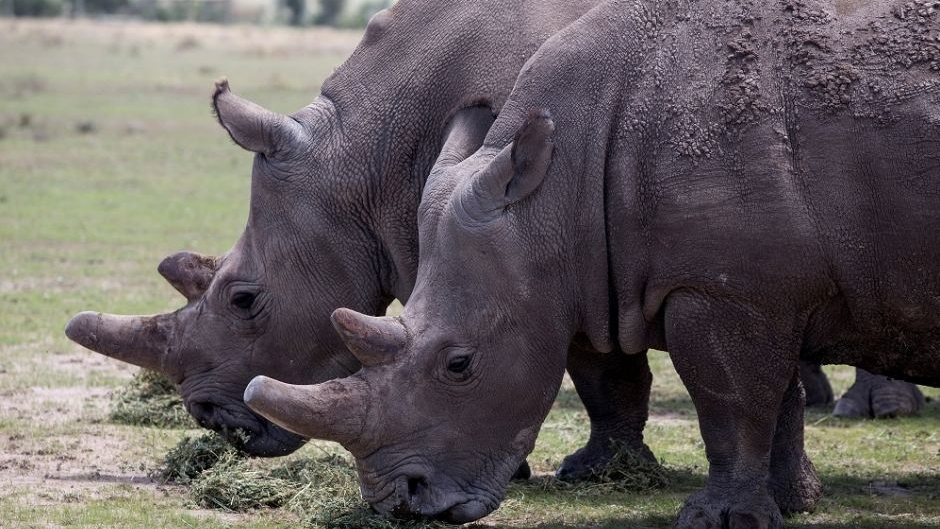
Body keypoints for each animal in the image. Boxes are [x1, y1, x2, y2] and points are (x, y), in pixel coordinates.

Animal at [66, 0, 660, 470]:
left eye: (243, 299)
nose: (210, 418)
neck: (366, 156)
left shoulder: (555, 244)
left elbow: (593, 361)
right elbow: (605, 365)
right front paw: (604, 469)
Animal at [246, 0, 940, 524]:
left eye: (459, 365)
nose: (404, 503)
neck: (556, 187)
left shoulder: (729, 288)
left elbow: (731, 401)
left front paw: (720, 519)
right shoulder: (721, 281)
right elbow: (729, 391)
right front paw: (786, 505)